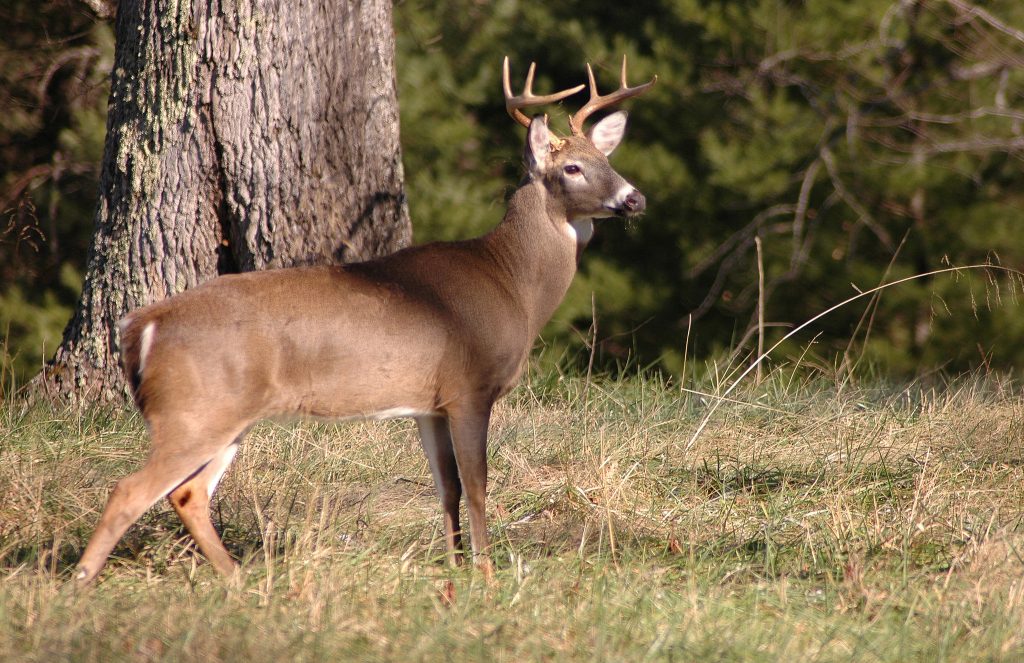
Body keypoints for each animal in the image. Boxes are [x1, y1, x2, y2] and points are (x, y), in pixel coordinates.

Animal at [77, 58, 655, 586]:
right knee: (131, 489)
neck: (511, 283)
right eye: (572, 168)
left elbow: (446, 487)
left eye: (606, 158)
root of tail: (142, 324)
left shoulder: (428, 403)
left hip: (222, 413)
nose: (634, 198)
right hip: (195, 407)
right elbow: (477, 484)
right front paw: (487, 577)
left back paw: (240, 580)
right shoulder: (470, 386)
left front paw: (455, 569)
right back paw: (83, 584)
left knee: (187, 493)